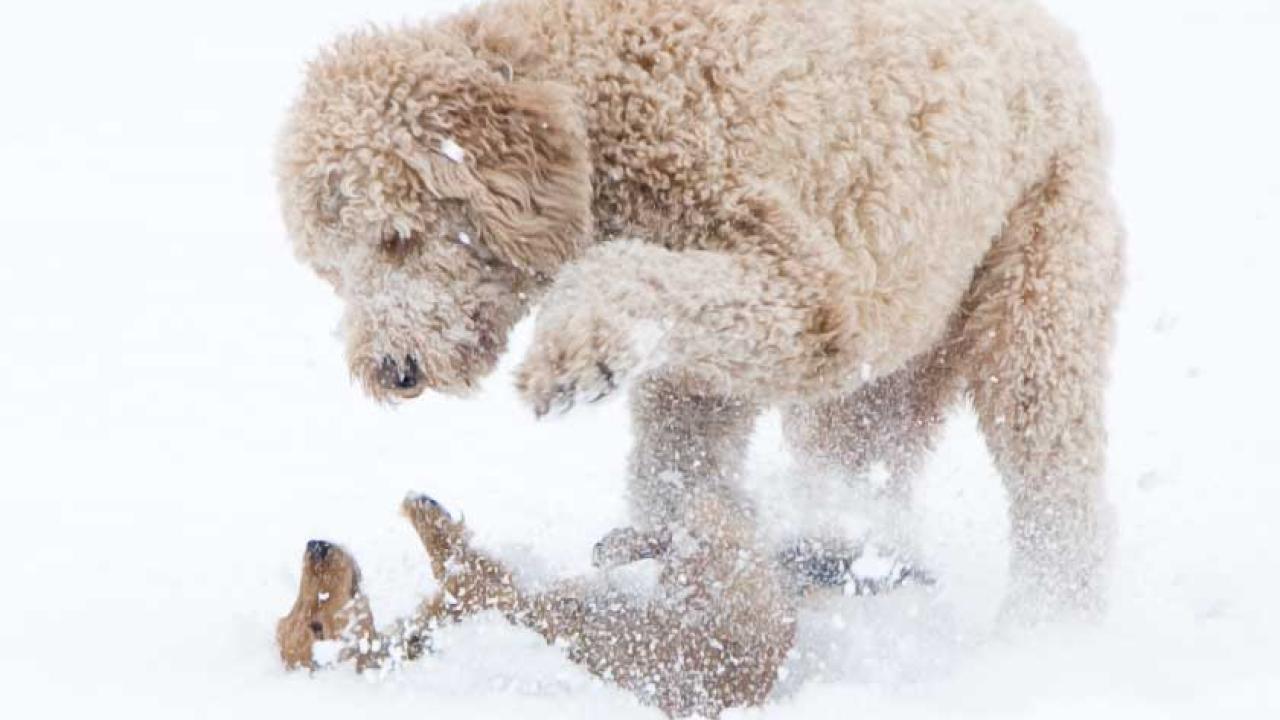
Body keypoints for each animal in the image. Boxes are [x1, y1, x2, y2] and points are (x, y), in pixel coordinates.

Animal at [277, 0, 1121, 617]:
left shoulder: (805, 297)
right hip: (884, 370)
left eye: (397, 238)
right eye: (334, 271)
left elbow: (625, 278)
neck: (591, 94)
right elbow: (675, 463)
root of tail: (1057, 39)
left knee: (1055, 494)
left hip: (1037, 296)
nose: (394, 369)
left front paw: (572, 357)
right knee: (863, 467)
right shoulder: (702, 374)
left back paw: (1044, 631)